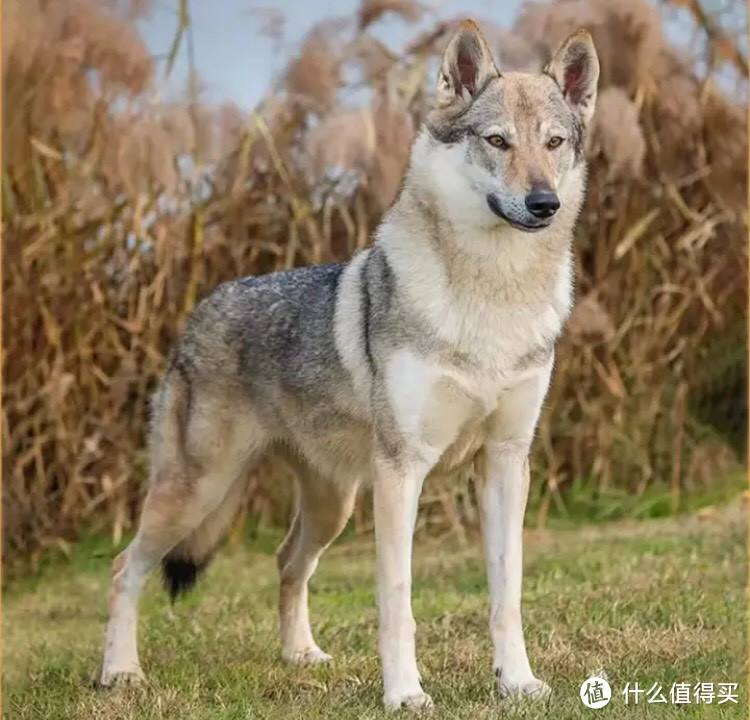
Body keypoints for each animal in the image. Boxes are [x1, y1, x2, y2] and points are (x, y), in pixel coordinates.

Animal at [100, 21, 604, 708]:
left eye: (554, 143)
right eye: (497, 141)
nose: (544, 202)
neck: (491, 300)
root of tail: (203, 306)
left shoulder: (506, 464)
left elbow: (508, 595)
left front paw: (518, 682)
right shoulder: (401, 472)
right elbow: (397, 599)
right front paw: (405, 694)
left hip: (329, 506)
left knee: (285, 560)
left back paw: (300, 656)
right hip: (198, 492)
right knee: (125, 567)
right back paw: (119, 673)